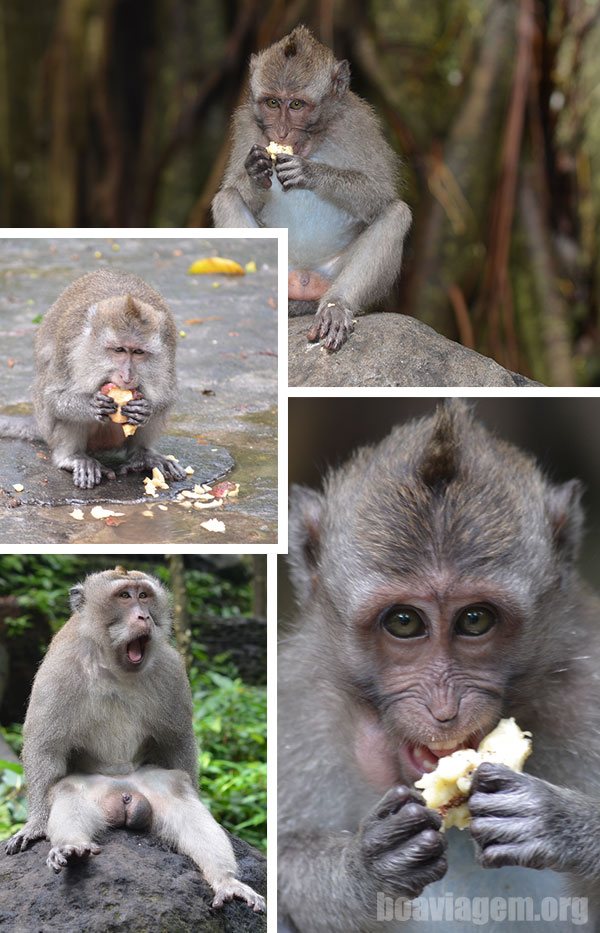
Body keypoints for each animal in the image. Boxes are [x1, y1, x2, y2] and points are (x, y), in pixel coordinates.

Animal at [5, 564, 264, 912]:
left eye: (144, 595)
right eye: (124, 596)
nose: (144, 617)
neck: (115, 666)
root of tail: (124, 790)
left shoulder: (171, 669)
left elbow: (177, 740)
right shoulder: (60, 667)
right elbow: (44, 746)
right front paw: (34, 824)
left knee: (177, 791)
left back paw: (226, 880)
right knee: (69, 790)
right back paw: (72, 848)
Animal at [212, 27, 412, 354]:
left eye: (296, 105)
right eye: (272, 103)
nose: (281, 132)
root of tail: (302, 277)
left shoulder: (359, 123)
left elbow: (381, 195)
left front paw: (310, 172)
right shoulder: (246, 126)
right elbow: (231, 189)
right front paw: (255, 170)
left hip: (330, 274)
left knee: (396, 213)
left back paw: (336, 306)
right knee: (227, 200)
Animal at [278, 404, 600, 932]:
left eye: (475, 619)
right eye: (405, 622)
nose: (444, 711)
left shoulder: (587, 689)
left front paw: (559, 821)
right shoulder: (302, 706)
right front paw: (365, 867)